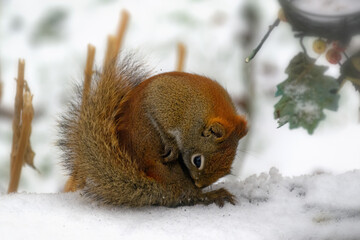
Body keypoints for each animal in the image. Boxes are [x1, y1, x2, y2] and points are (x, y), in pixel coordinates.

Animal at [60, 59, 249, 207]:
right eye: (197, 161)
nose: (199, 183)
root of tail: (161, 188)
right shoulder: (163, 103)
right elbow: (158, 122)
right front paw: (172, 146)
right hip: (170, 172)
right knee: (188, 195)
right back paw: (210, 195)